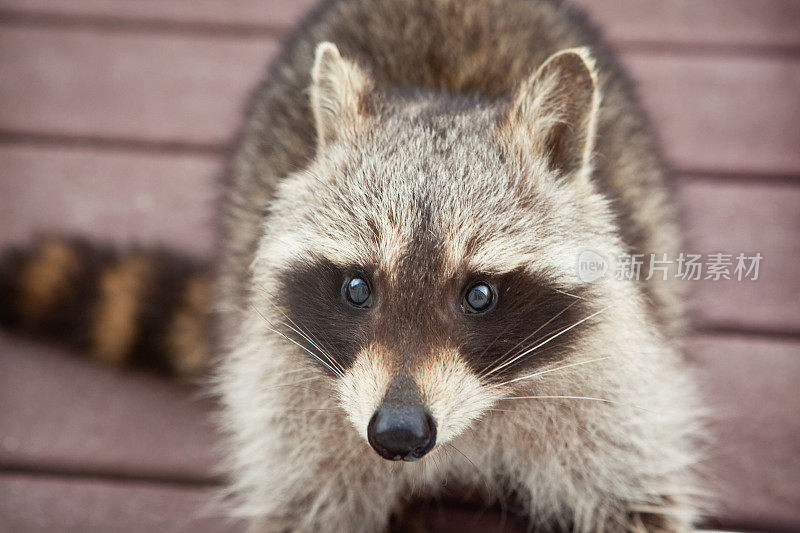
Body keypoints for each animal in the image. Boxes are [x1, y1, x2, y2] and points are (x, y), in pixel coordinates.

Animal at [0, 0, 704, 528]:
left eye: (479, 294)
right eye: (358, 287)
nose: (398, 432)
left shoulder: (606, 389)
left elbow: (633, 496)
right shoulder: (291, 406)